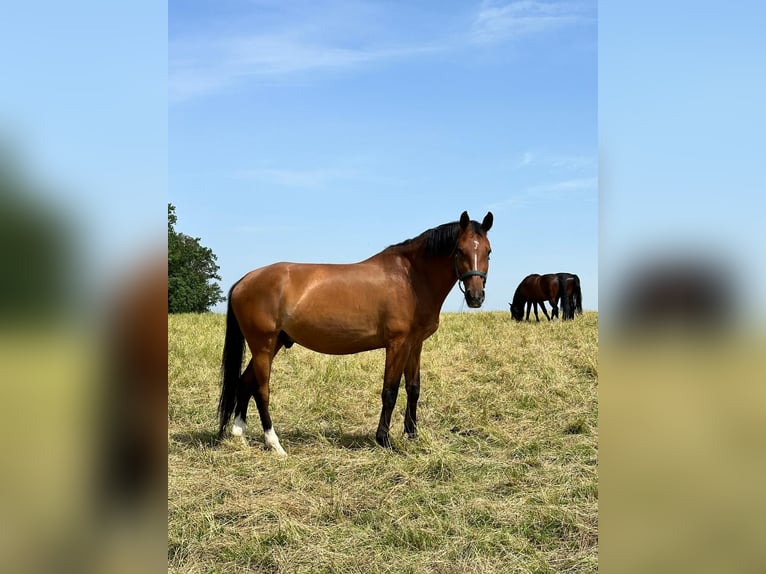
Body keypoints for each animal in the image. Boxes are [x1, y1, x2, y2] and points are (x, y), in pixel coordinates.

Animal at [219, 210, 496, 454]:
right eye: (459, 250)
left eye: (488, 251)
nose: (476, 297)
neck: (410, 278)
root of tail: (245, 280)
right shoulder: (397, 344)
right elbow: (390, 391)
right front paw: (385, 440)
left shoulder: (415, 344)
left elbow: (413, 388)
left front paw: (412, 435)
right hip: (263, 345)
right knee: (261, 390)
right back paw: (274, 444)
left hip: (272, 344)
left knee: (245, 383)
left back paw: (239, 436)